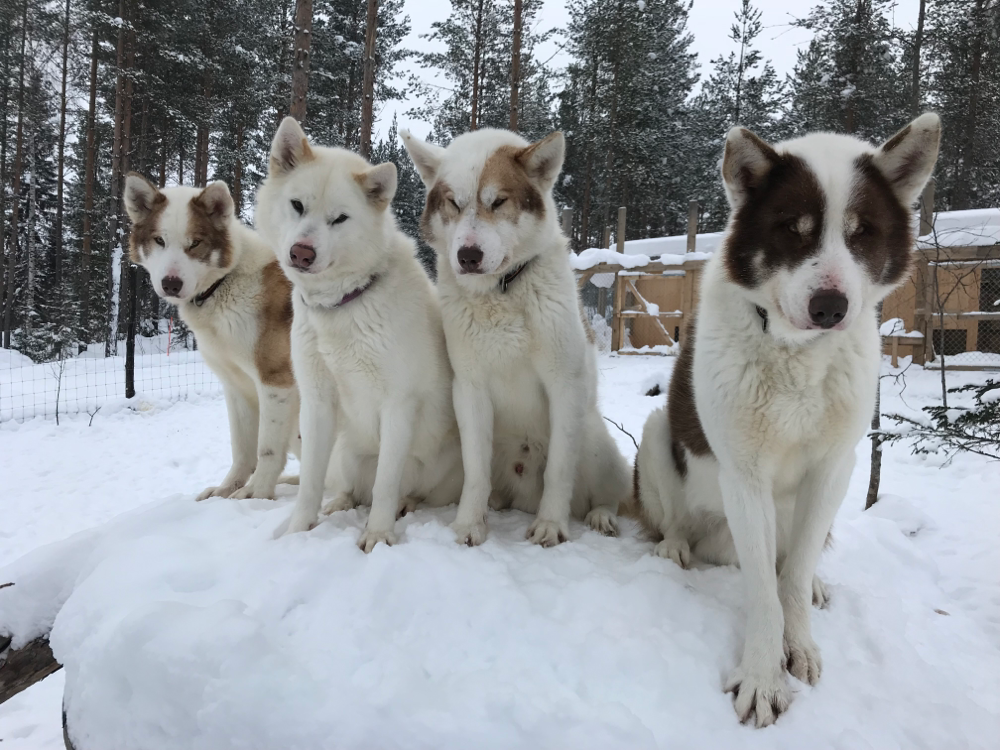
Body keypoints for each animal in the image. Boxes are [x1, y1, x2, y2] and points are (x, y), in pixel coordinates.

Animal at [124, 176, 298, 502]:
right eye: (159, 241)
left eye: (195, 243)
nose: (171, 283)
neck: (223, 284)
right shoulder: (237, 387)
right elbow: (242, 450)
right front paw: (226, 489)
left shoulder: (276, 382)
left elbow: (267, 450)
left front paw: (256, 494)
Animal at [256, 117, 462, 552]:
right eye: (297, 205)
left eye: (340, 219)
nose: (301, 253)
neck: (343, 304)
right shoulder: (317, 403)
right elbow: (309, 484)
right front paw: (297, 531)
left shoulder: (398, 404)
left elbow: (385, 485)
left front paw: (379, 536)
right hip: (344, 452)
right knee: (350, 489)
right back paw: (339, 504)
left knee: (405, 492)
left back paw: (403, 507)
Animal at [400, 129, 628, 548]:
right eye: (454, 203)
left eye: (498, 201)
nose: (468, 255)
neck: (501, 292)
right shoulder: (469, 390)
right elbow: (475, 472)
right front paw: (469, 525)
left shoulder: (565, 384)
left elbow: (559, 470)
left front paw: (551, 525)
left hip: (593, 442)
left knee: (607, 494)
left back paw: (601, 516)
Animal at [636, 114, 940, 724]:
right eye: (794, 230)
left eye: (861, 233)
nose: (830, 307)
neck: (799, 355)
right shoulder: (745, 476)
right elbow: (763, 592)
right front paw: (762, 675)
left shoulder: (833, 468)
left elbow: (791, 580)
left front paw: (796, 643)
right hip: (659, 434)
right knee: (678, 518)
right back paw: (674, 547)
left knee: (795, 560)